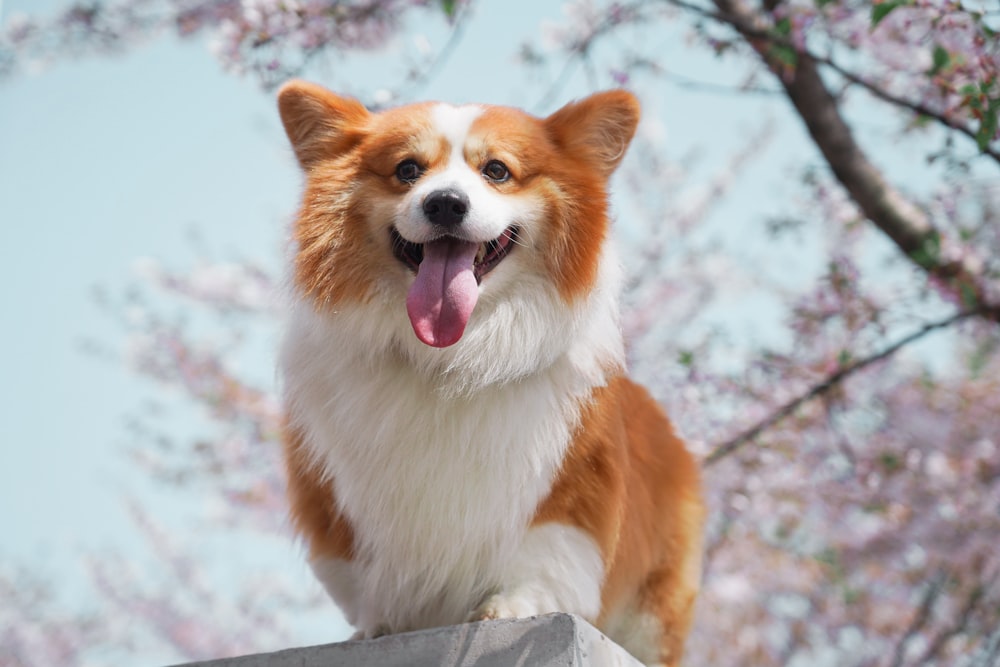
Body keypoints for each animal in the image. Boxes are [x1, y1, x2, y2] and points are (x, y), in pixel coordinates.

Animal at [278, 81, 708, 664]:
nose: (444, 203)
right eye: (407, 170)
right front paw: (377, 628)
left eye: (497, 170)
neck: (450, 357)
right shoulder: (339, 501)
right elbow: (370, 579)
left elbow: (541, 556)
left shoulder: (568, 488)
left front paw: (509, 607)